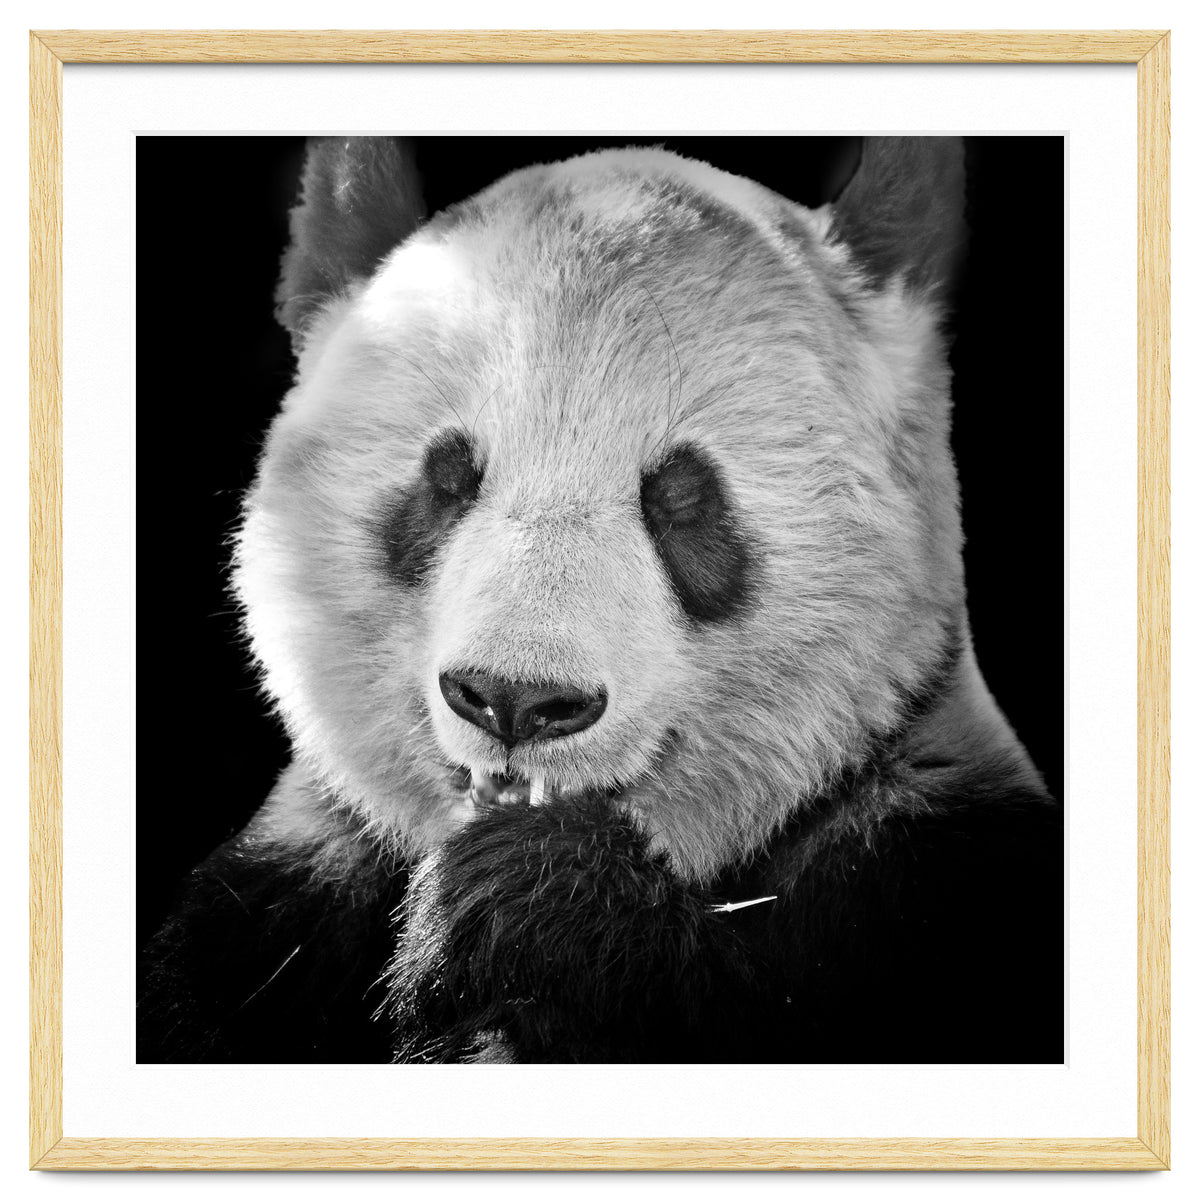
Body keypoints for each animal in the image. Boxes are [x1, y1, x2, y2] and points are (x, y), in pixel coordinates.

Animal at [138, 136, 1063, 1066]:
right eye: (447, 479)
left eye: (682, 499)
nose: (515, 700)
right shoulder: (273, 909)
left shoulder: (929, 873)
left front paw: (533, 902)